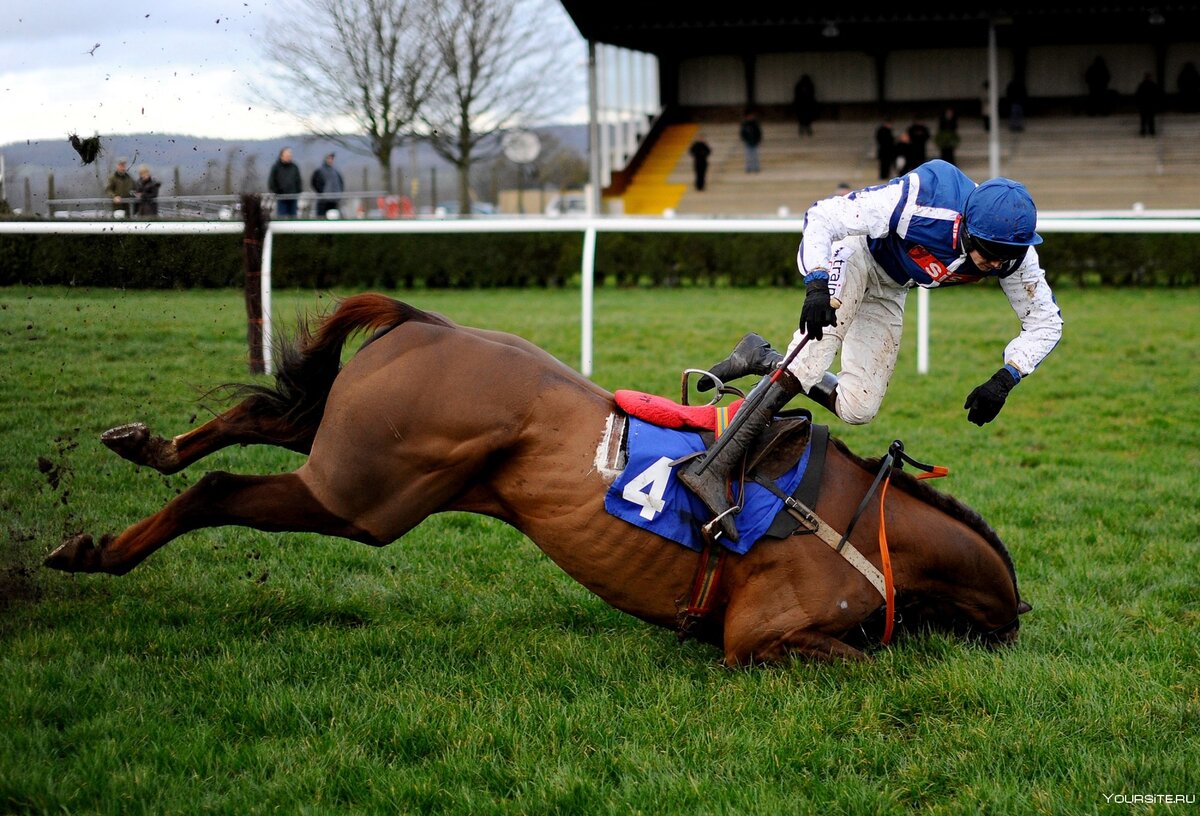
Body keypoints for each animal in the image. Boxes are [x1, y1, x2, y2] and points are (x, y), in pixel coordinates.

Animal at [42, 296, 1027, 667]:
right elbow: (862, 662)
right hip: (365, 497)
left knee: (273, 417)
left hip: (353, 459)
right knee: (221, 490)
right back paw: (95, 551)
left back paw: (143, 446)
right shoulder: (758, 636)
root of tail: (428, 324)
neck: (865, 528)